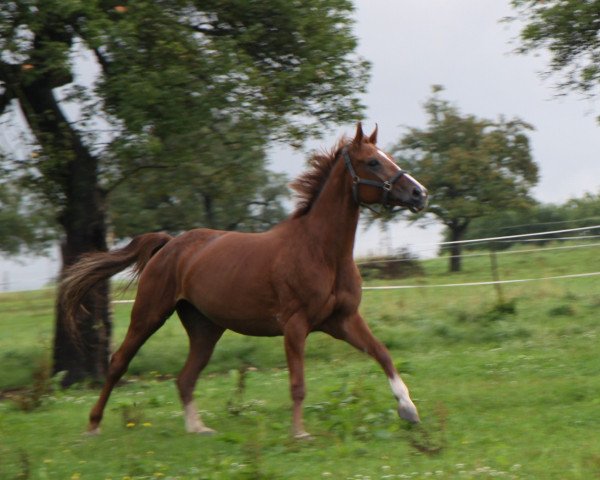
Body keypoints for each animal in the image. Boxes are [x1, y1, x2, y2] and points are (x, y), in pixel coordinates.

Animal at [59, 122, 426, 436]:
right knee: (119, 362)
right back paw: (93, 426)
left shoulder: (344, 320)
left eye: (388, 157)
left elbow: (382, 354)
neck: (321, 252)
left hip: (205, 328)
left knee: (185, 377)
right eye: (373, 162)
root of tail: (169, 244)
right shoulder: (295, 325)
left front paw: (409, 410)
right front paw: (299, 433)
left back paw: (198, 428)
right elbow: (298, 384)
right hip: (149, 314)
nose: (419, 193)